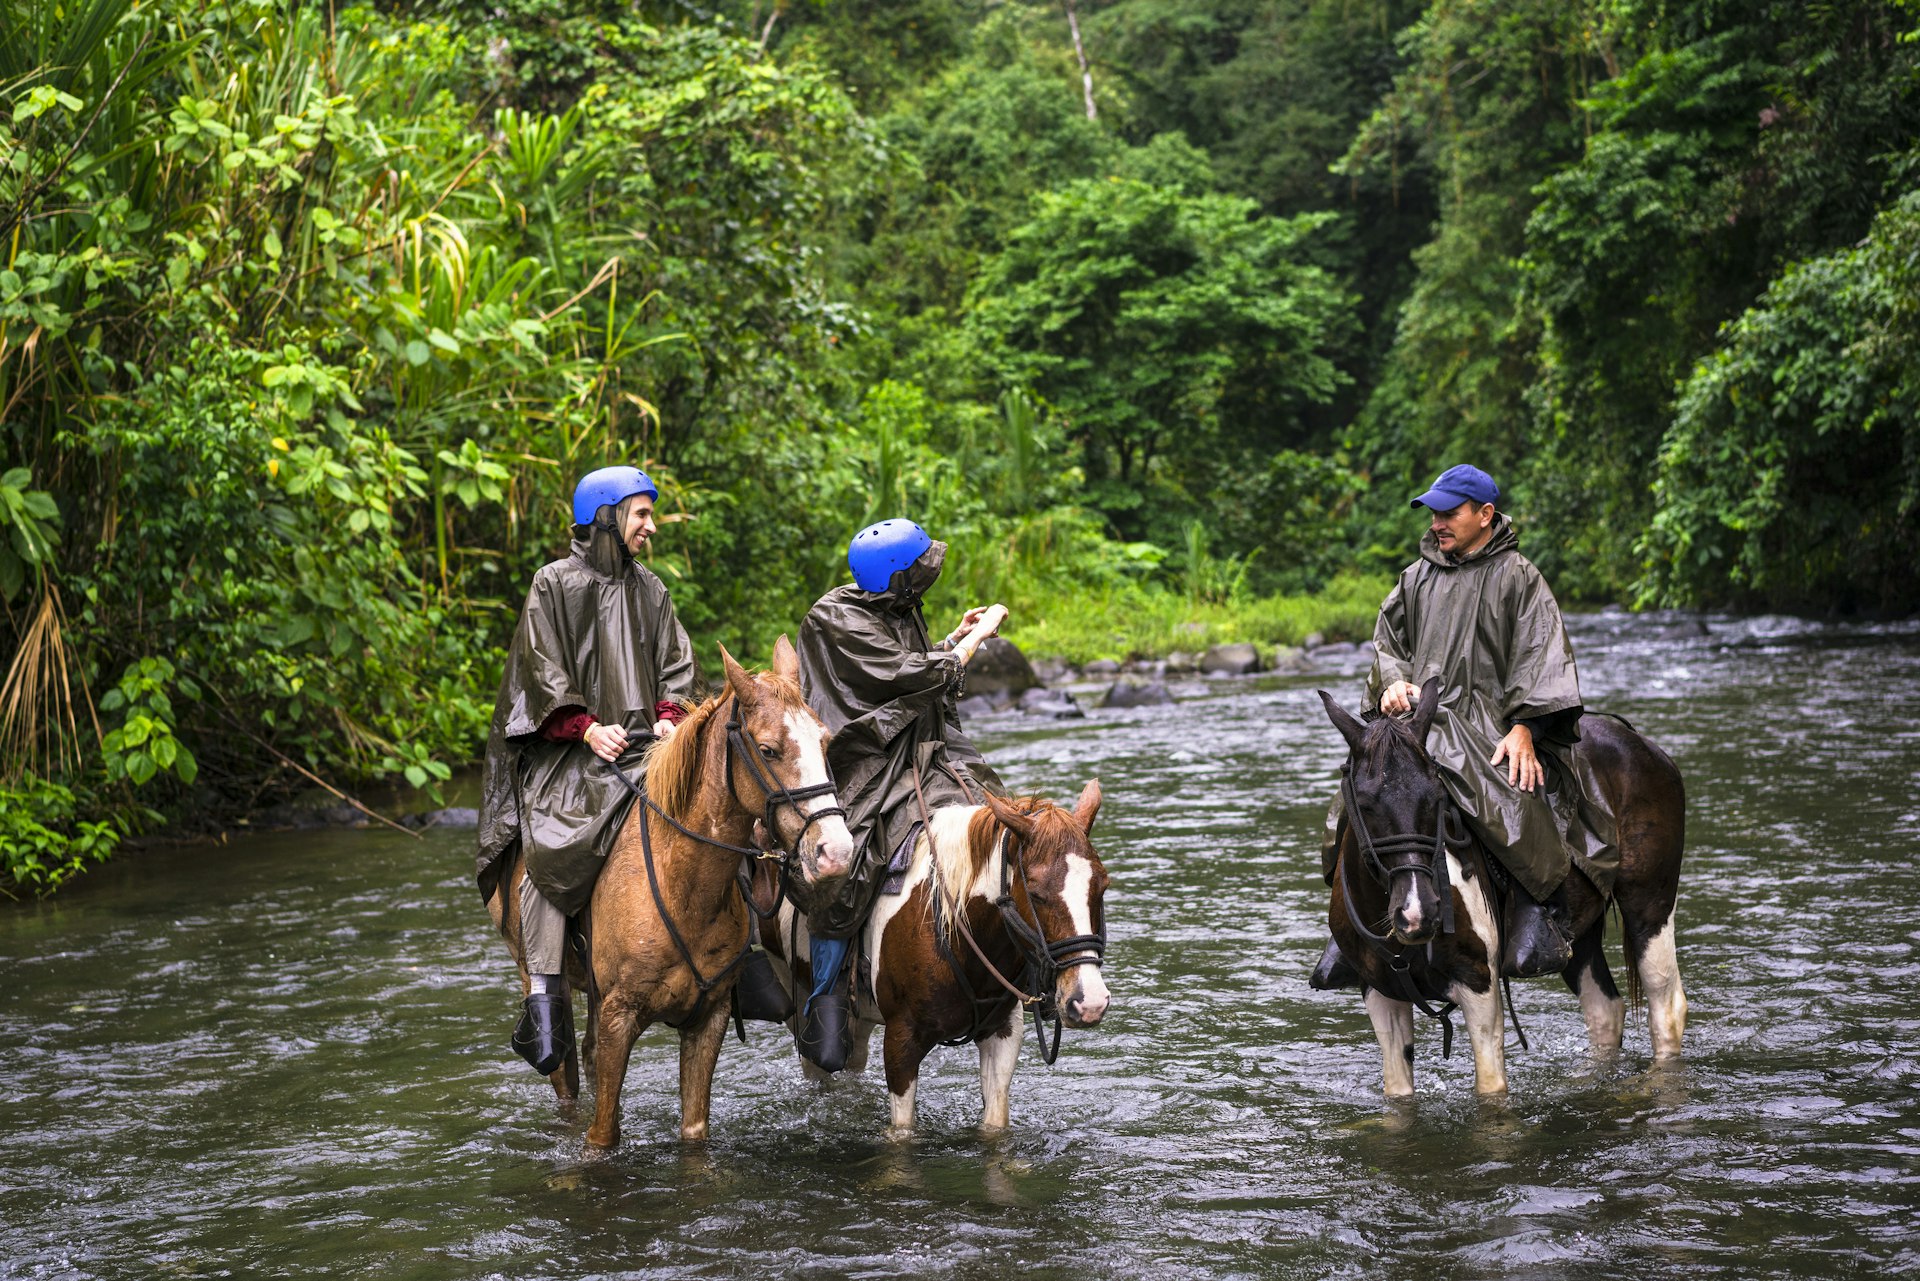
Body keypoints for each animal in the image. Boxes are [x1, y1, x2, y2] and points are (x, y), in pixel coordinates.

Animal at [487, 637, 856, 1144]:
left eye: (825, 741)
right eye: (768, 750)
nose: (835, 852)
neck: (682, 886)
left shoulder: (708, 1021)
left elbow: (693, 1130)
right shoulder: (620, 1018)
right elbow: (601, 1137)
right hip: (536, 971)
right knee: (563, 1070)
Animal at [771, 783, 1121, 1129]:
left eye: (1102, 885)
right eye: (1035, 892)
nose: (1089, 1002)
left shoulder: (1003, 1032)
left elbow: (994, 1124)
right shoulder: (901, 1042)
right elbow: (902, 1131)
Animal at [1313, 676, 1689, 1098]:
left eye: (1437, 795)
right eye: (1364, 803)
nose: (1418, 913)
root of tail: (1643, 744)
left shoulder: (1479, 983)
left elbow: (1491, 1090)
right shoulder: (1380, 992)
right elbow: (1398, 1094)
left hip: (1650, 904)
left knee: (1665, 1005)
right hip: (1579, 933)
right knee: (1605, 1010)